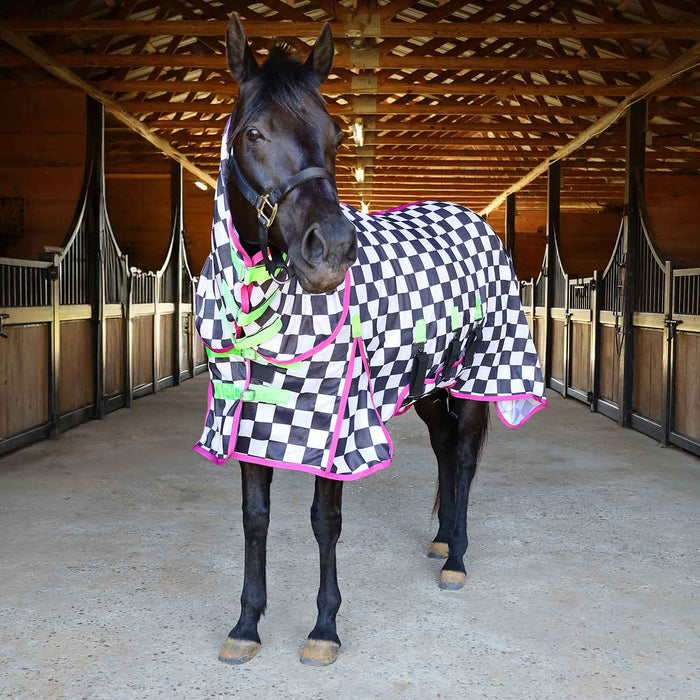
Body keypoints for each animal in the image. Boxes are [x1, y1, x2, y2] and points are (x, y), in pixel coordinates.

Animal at [195, 14, 545, 667]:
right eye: (253, 133)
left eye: (334, 136)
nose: (331, 250)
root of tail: (474, 219)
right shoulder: (247, 418)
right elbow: (255, 518)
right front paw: (246, 626)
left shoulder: (336, 423)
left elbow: (323, 520)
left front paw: (324, 628)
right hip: (427, 383)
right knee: (443, 452)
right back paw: (440, 541)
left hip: (475, 378)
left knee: (462, 456)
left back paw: (456, 559)